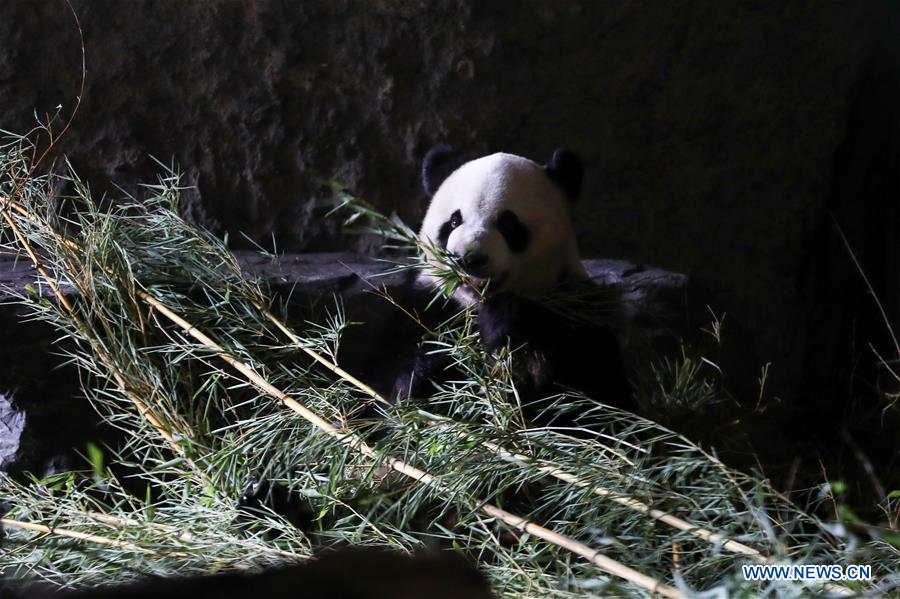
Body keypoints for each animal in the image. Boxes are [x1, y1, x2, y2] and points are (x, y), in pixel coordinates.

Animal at [342, 147, 632, 424]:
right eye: (454, 221)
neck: (473, 306)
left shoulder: (576, 310)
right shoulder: (424, 307)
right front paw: (436, 366)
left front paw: (503, 323)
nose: (467, 258)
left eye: (508, 224)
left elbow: (583, 400)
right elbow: (382, 387)